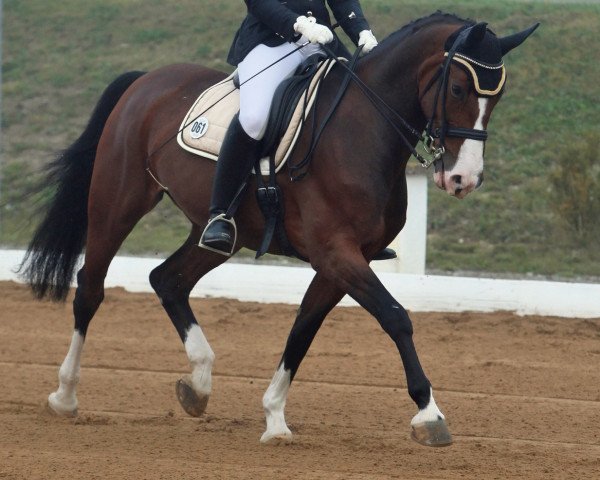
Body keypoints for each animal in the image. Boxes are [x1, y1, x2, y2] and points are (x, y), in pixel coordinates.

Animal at [19, 12, 540, 446]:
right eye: (458, 90)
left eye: (497, 97)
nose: (463, 179)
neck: (363, 130)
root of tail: (146, 80)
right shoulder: (336, 252)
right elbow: (396, 317)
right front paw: (430, 414)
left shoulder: (341, 261)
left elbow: (303, 330)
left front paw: (274, 418)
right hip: (117, 202)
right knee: (91, 287)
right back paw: (65, 396)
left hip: (220, 233)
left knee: (168, 279)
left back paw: (198, 385)